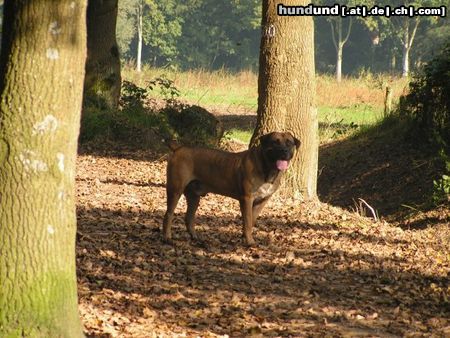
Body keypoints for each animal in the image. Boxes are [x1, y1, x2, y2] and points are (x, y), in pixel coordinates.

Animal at [163, 131, 300, 246]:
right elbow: (248, 220)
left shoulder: (262, 201)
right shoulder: (247, 199)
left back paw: (195, 237)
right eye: (275, 142)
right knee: (168, 214)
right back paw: (167, 237)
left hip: (194, 196)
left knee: (189, 217)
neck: (267, 169)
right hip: (175, 189)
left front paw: (245, 237)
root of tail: (179, 148)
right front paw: (249, 241)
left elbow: (251, 220)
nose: (284, 150)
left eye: (289, 142)